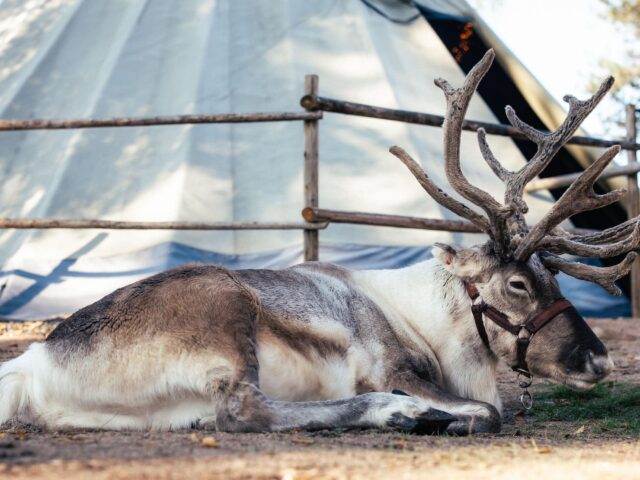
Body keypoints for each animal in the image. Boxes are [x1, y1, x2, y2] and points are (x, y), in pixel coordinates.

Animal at [0, 50, 637, 435]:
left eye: (556, 277)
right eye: (518, 283)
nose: (601, 359)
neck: (427, 319)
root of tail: (34, 362)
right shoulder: (389, 363)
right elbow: (488, 410)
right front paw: (442, 413)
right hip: (222, 305)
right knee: (241, 408)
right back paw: (401, 412)